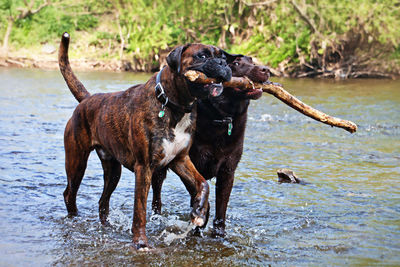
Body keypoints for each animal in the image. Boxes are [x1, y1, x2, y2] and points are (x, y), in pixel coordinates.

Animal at [152, 56, 270, 237]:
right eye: (236, 63)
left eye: (251, 60)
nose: (266, 69)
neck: (221, 117)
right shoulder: (190, 163)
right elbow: (200, 195)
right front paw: (199, 221)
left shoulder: (227, 171)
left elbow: (221, 209)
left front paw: (219, 233)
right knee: (156, 196)